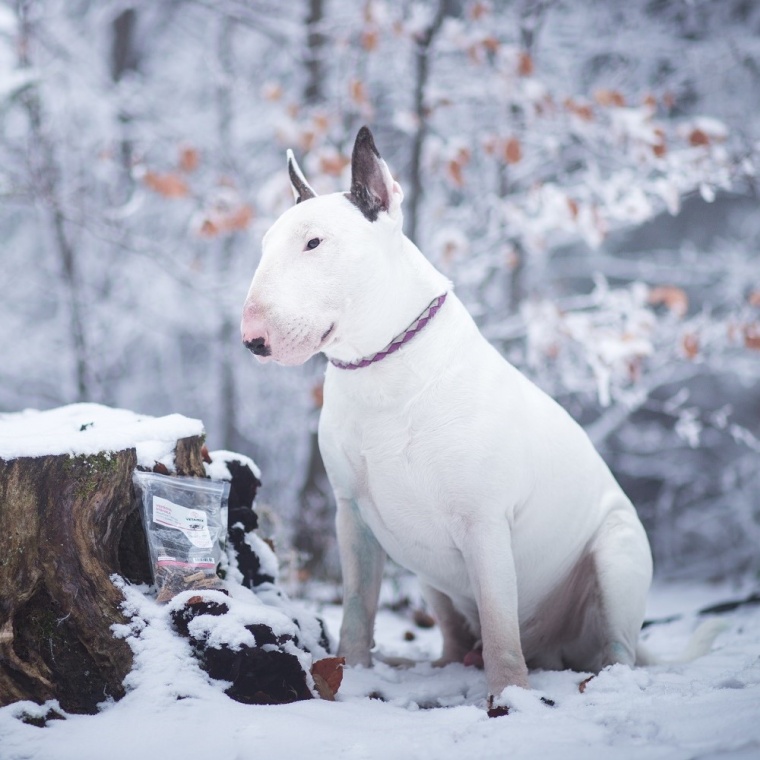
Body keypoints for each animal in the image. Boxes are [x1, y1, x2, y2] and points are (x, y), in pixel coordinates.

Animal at [240, 126, 656, 712]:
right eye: (265, 246)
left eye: (314, 243)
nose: (252, 339)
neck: (381, 366)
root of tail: (554, 649)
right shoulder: (353, 517)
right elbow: (357, 606)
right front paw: (350, 674)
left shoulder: (484, 523)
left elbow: (501, 625)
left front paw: (510, 699)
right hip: (428, 574)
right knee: (457, 634)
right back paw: (442, 665)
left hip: (617, 554)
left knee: (615, 646)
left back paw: (600, 680)